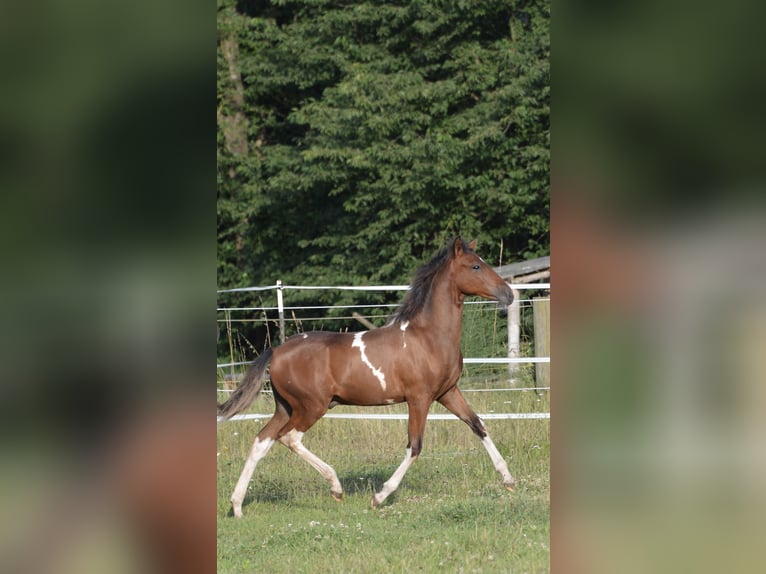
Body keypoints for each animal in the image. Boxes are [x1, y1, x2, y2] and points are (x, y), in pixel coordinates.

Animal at [219, 238, 520, 516]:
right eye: (475, 266)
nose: (509, 295)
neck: (429, 337)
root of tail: (277, 351)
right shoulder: (419, 398)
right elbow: (415, 446)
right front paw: (379, 496)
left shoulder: (448, 392)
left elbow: (478, 426)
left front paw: (509, 479)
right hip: (311, 407)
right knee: (290, 438)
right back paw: (336, 488)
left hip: (285, 407)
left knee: (261, 441)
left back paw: (237, 506)